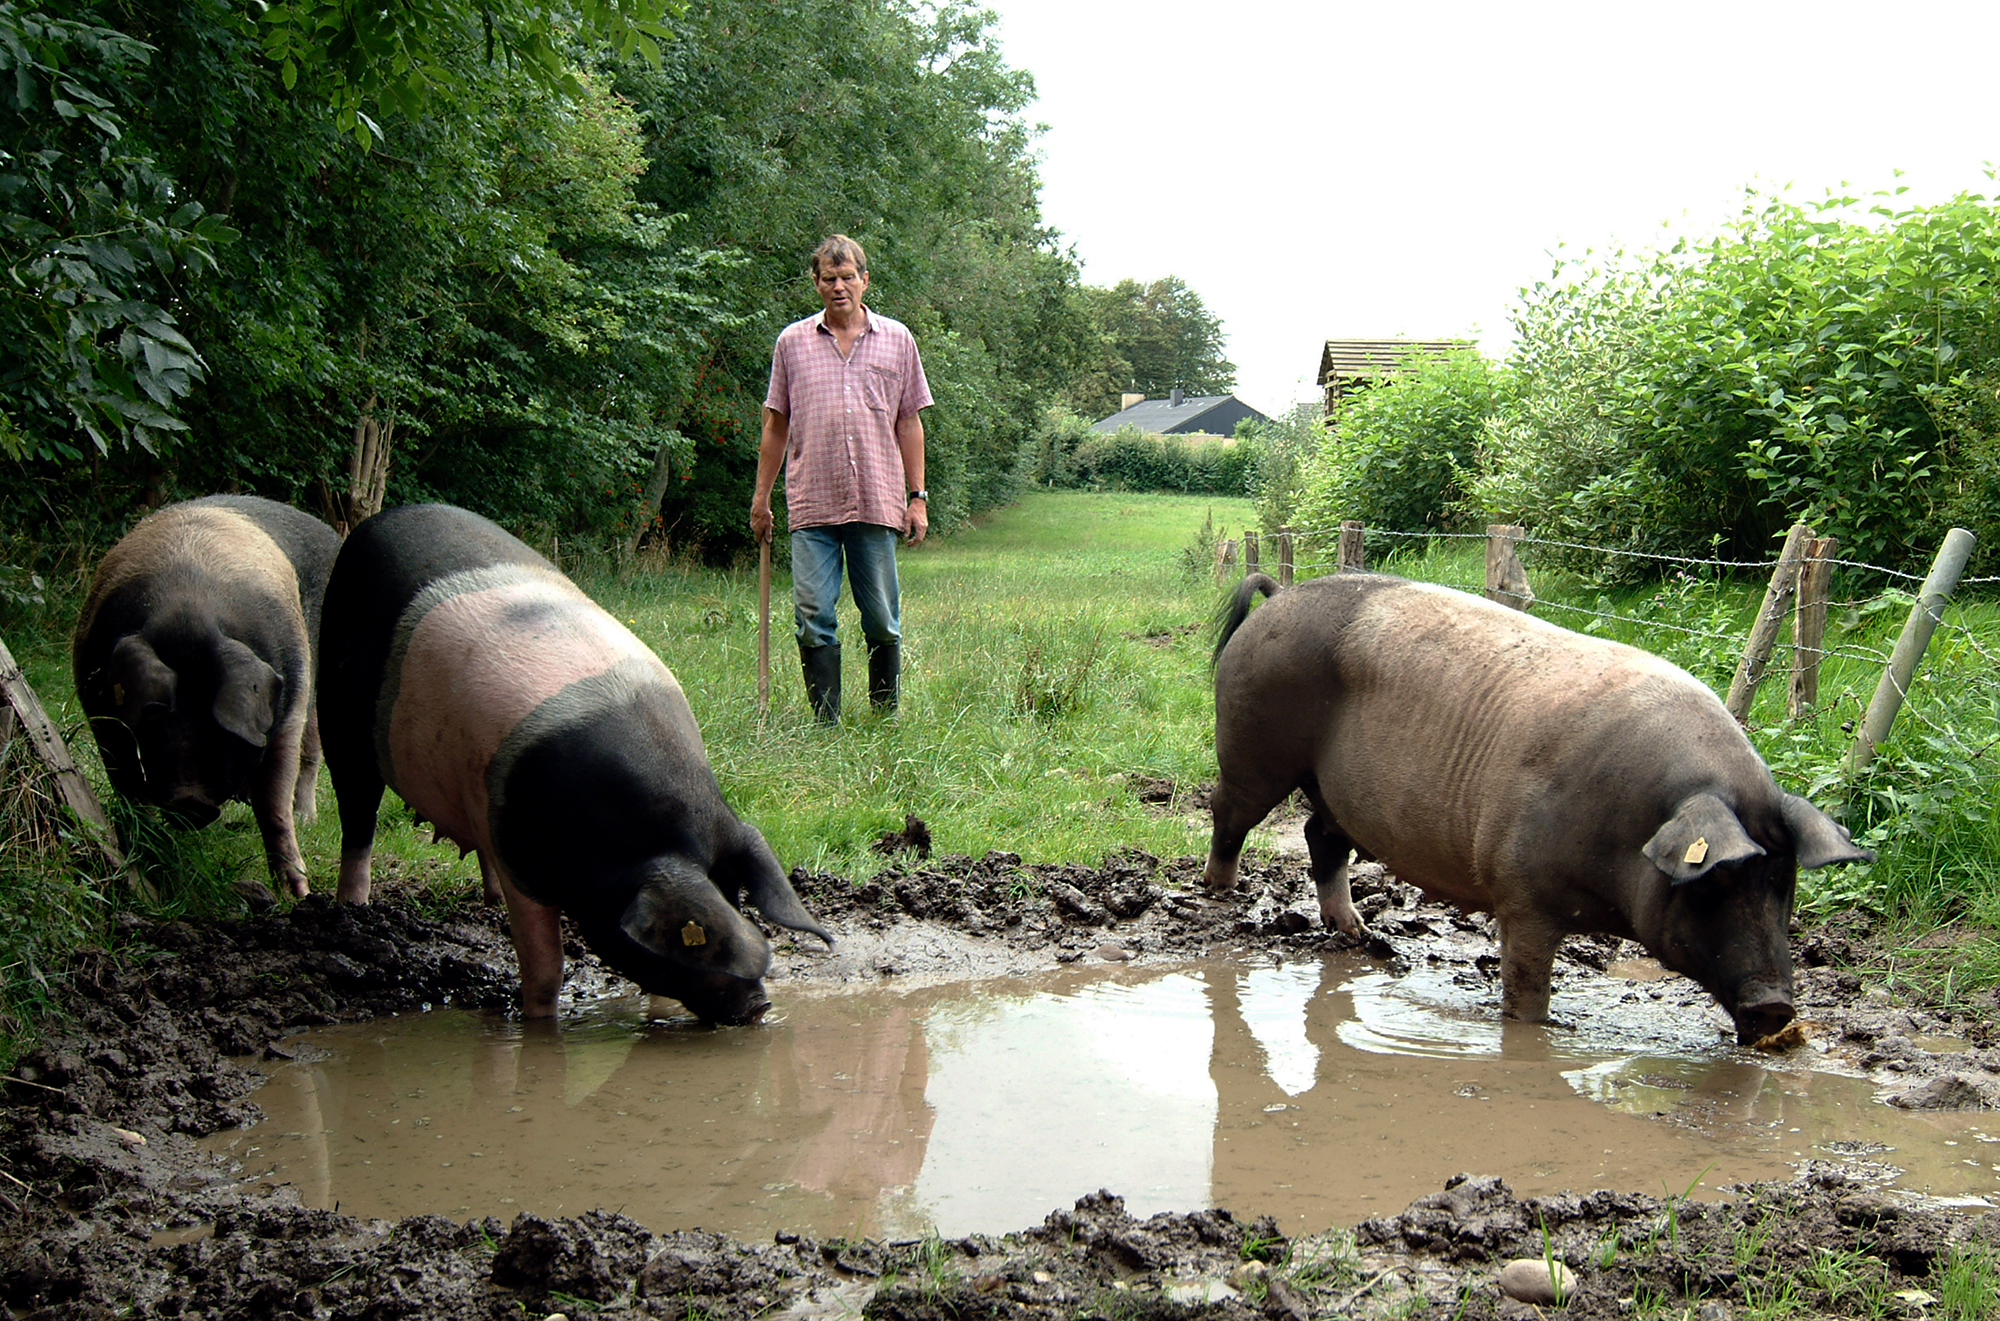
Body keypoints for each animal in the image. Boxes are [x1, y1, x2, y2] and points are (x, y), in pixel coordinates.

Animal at [318, 502, 828, 1020]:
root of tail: (381, 519)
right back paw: (349, 912)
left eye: (737, 899)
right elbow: (547, 966)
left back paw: (487, 903)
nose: (760, 1007)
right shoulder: (519, 852)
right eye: (701, 939)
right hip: (337, 718)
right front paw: (539, 1023)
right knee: (356, 818)